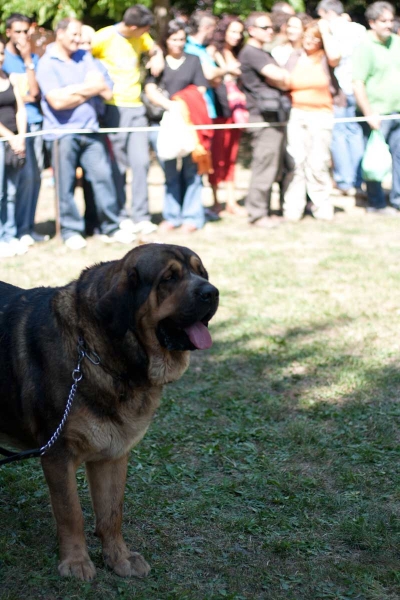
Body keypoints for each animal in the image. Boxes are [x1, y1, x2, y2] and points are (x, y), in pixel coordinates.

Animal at [0, 244, 219, 580]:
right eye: (169, 278)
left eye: (202, 272)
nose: (212, 292)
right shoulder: (58, 454)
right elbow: (71, 513)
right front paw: (76, 562)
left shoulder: (113, 454)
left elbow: (111, 512)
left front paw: (119, 558)